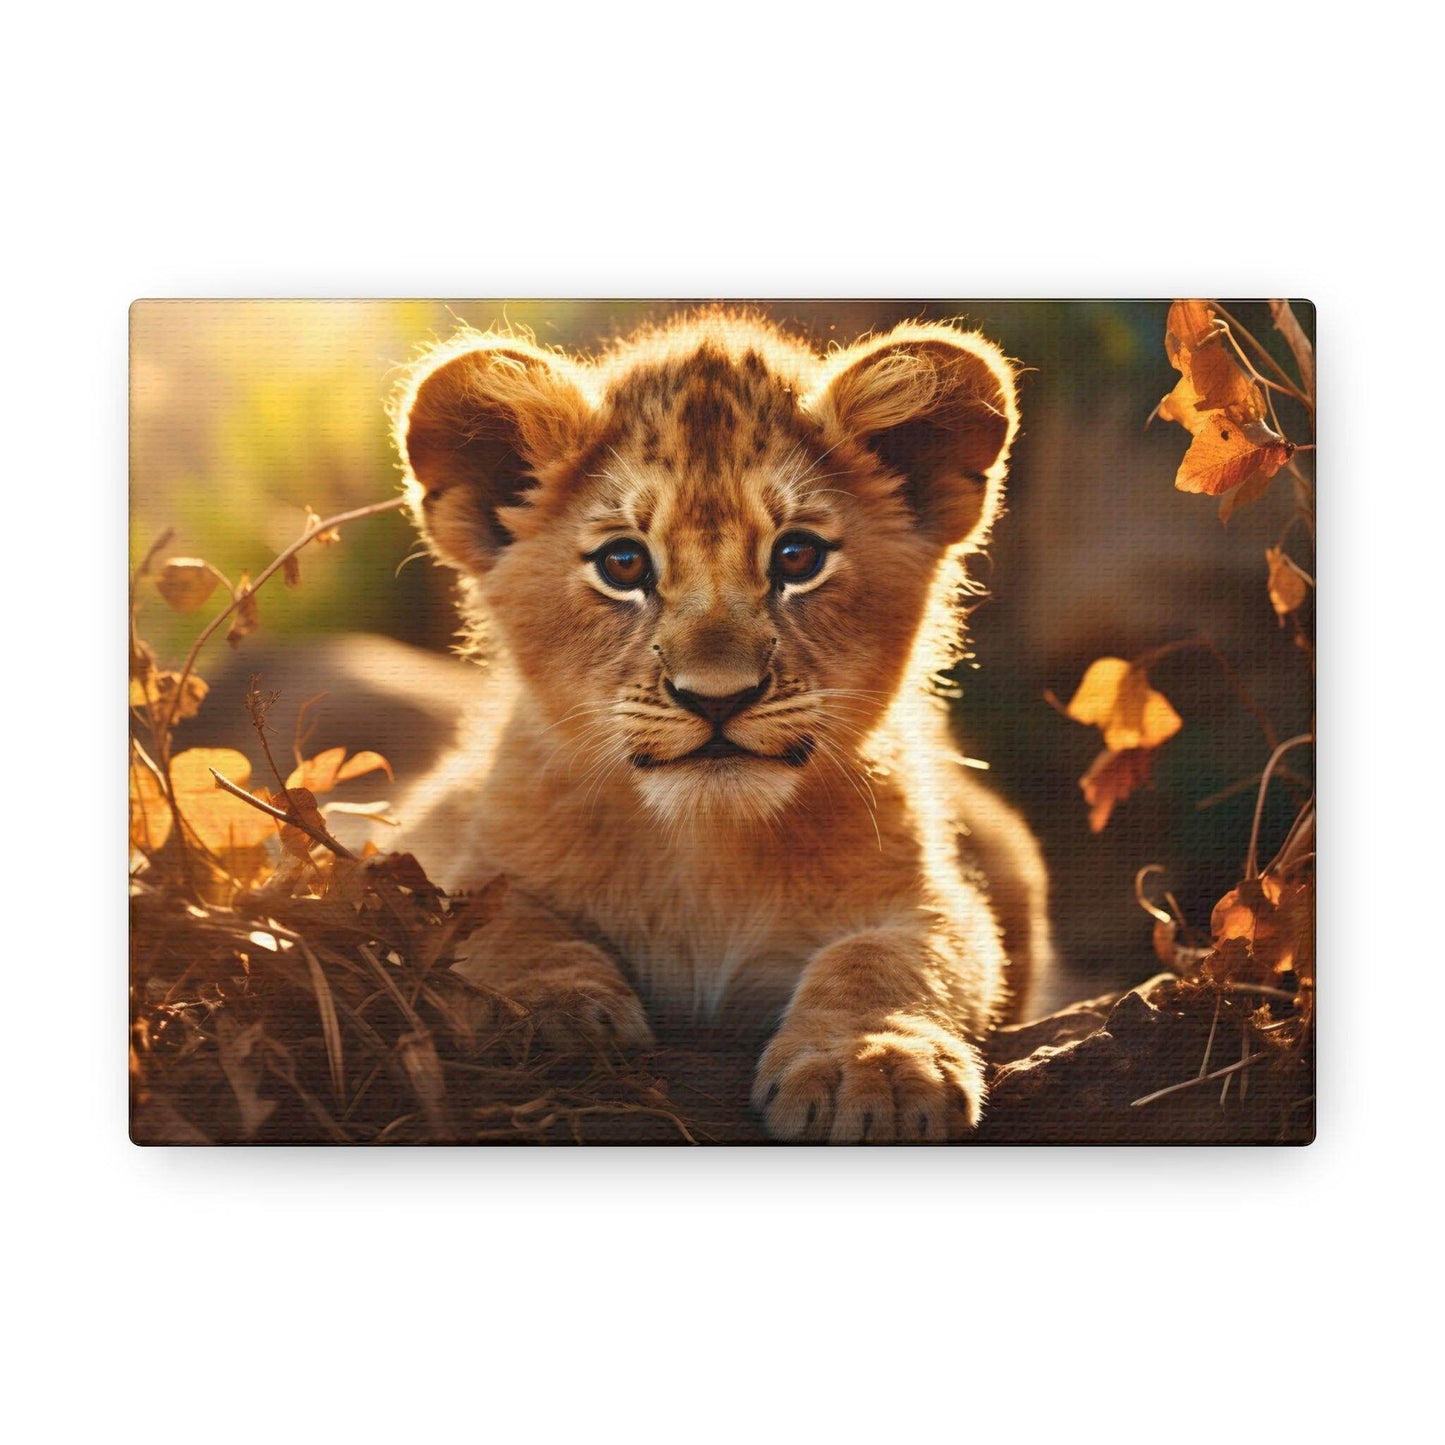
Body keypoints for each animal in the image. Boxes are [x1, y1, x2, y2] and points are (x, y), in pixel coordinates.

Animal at [393, 309, 1053, 1142]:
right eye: (622, 564)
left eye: (797, 556)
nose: (715, 697)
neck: (705, 850)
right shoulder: (450, 850)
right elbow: (494, 917)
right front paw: (547, 1010)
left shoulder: (932, 895)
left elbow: (891, 955)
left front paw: (872, 1062)